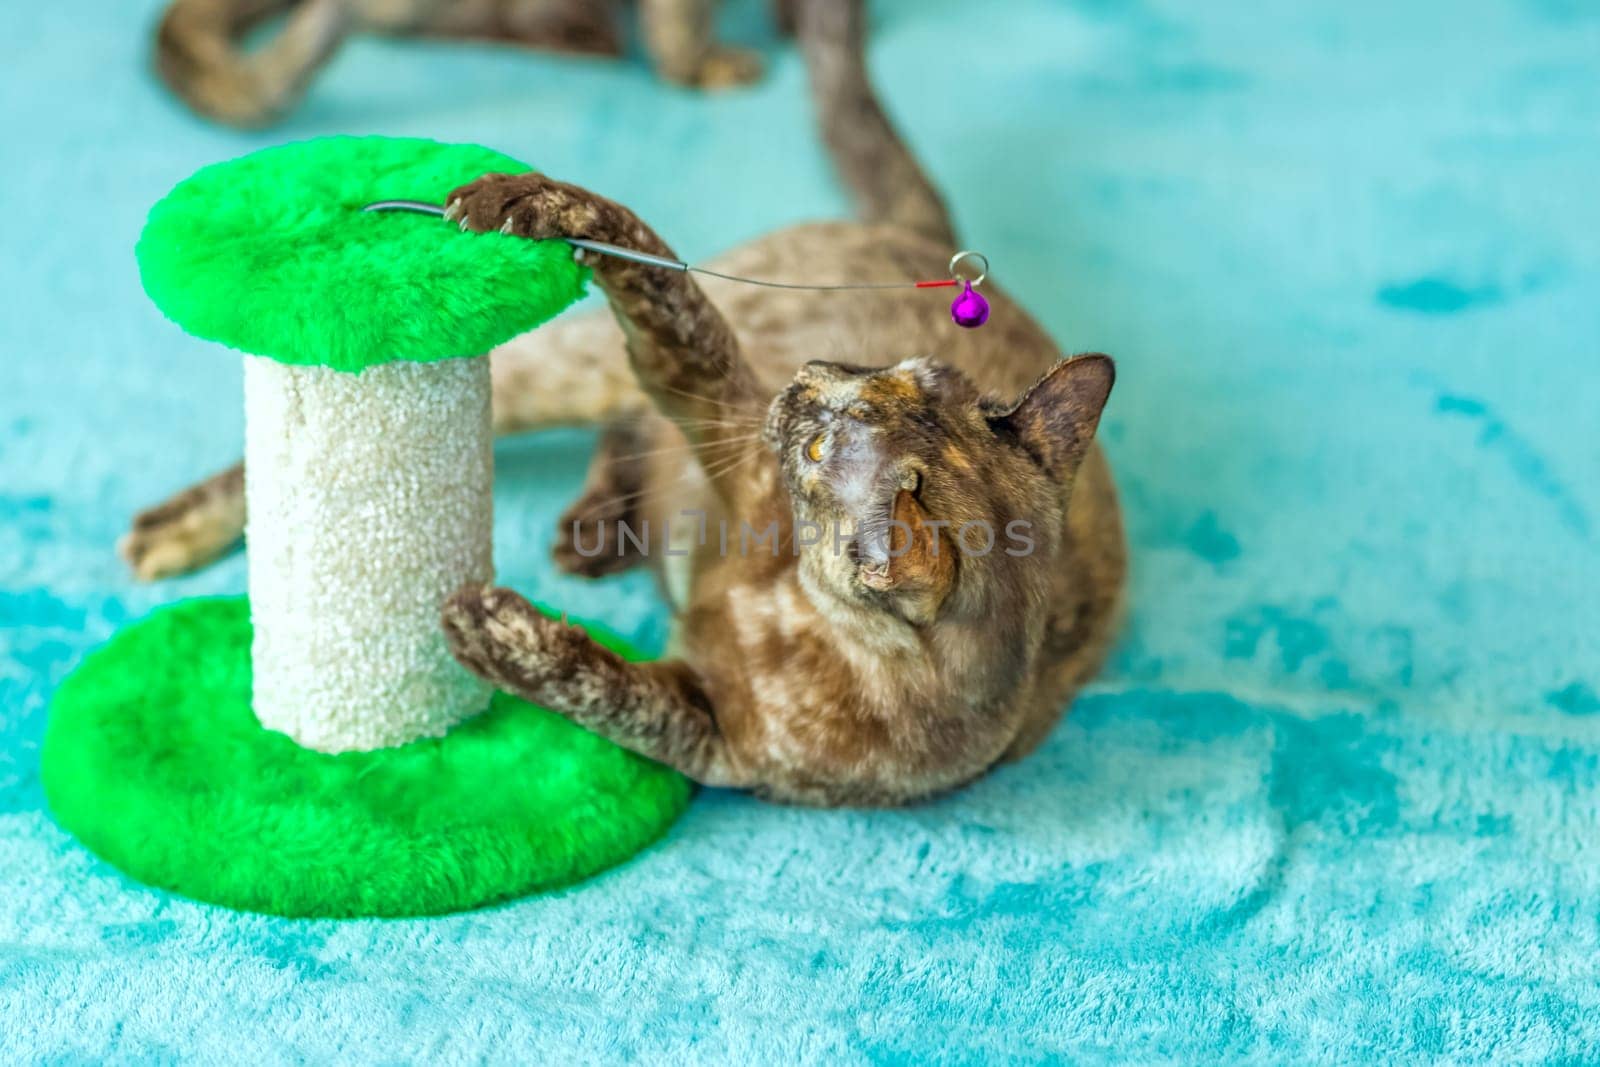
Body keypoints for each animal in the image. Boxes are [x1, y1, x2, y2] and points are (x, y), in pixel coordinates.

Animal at [124, 0, 1126, 799]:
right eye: (881, 372)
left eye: (817, 449)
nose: (805, 378)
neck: (800, 619)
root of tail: (920, 236)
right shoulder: (719, 409)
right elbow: (659, 277)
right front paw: (536, 204)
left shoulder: (709, 734)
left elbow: (605, 690)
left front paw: (496, 632)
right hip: (577, 373)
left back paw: (591, 533)